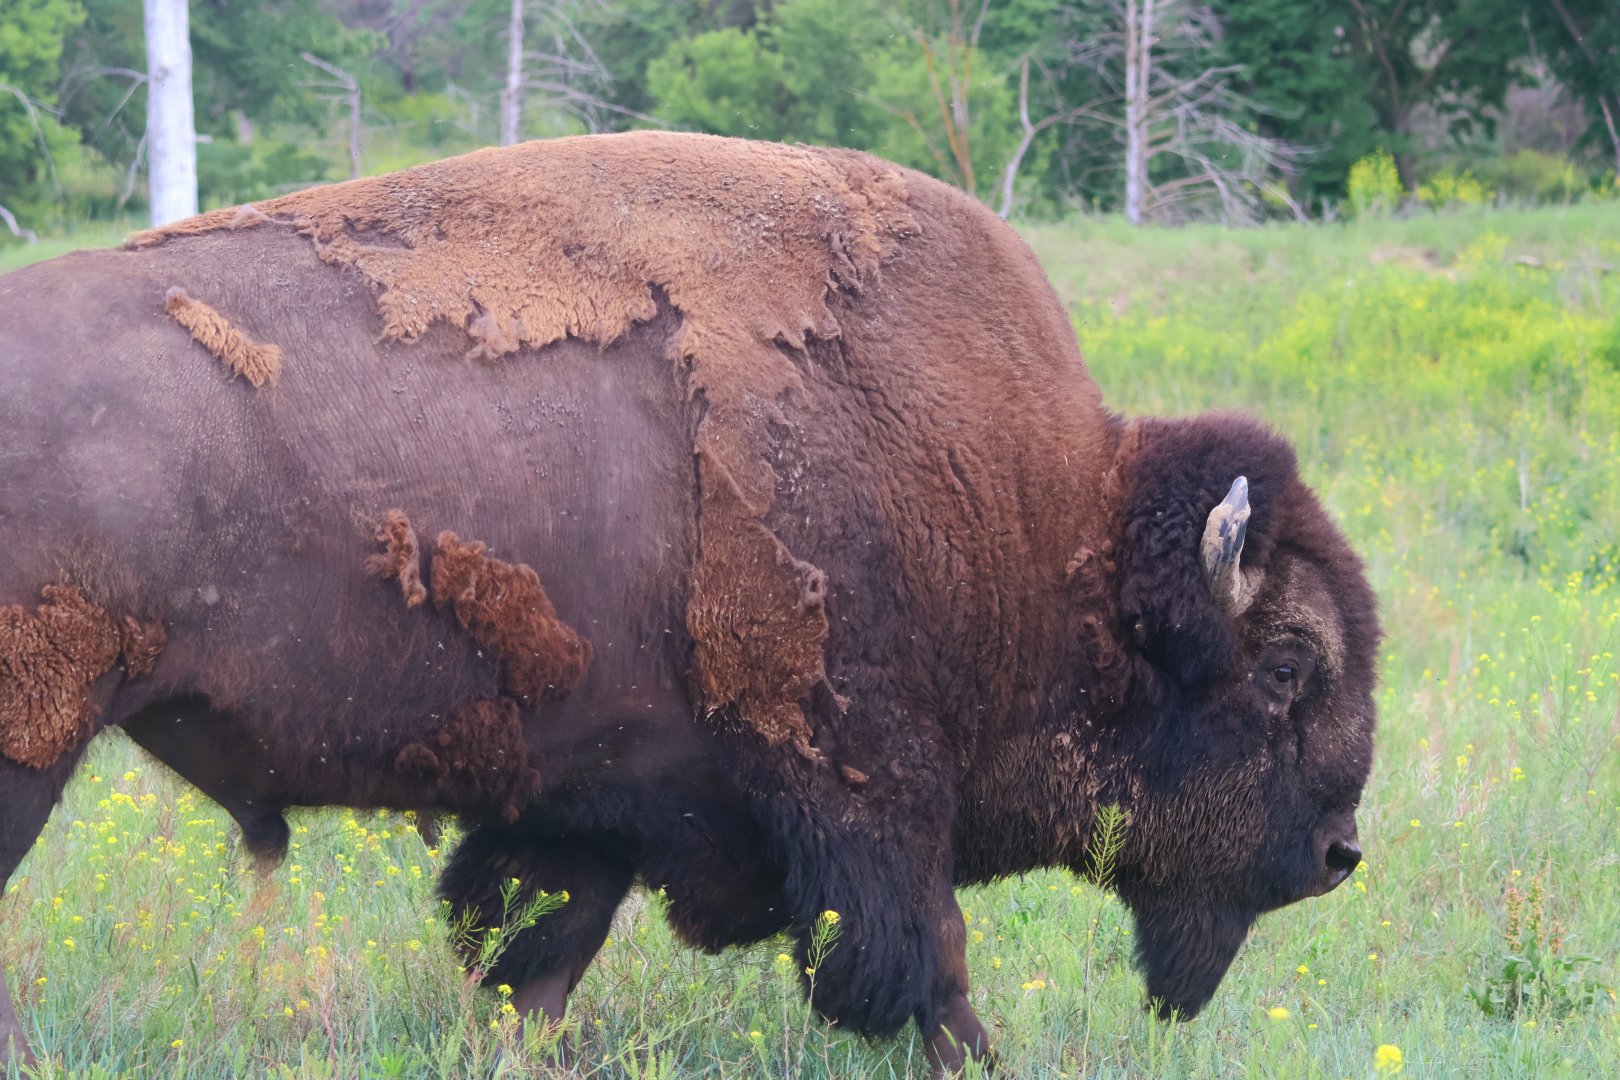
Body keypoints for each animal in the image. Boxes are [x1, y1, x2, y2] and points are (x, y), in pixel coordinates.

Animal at [0, 131, 1379, 1074]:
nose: (1339, 854)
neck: (1037, 518)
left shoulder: (587, 805)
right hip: (32, 742)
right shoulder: (866, 796)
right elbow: (929, 968)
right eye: (1284, 667)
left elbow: (533, 963)